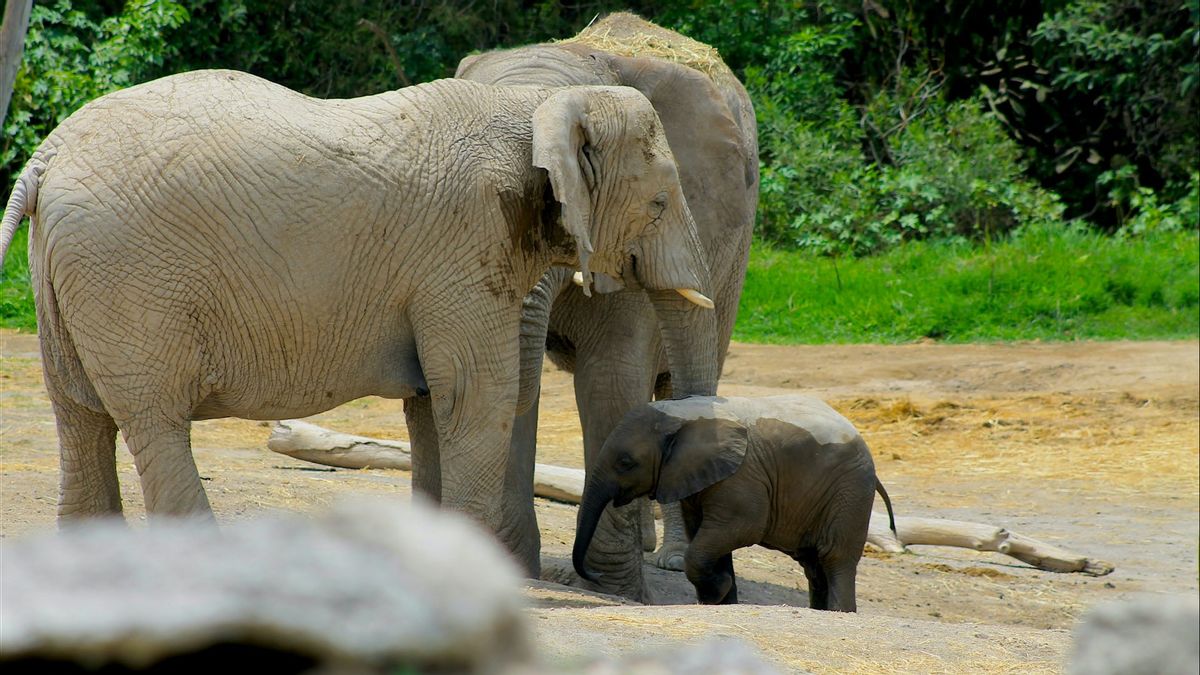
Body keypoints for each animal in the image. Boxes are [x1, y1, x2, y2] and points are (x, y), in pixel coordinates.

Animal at [0, 68, 715, 542]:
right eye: (658, 204)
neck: (536, 107)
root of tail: (44, 158)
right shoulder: (461, 248)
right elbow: (476, 397)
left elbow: (431, 404)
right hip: (127, 277)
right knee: (153, 418)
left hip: (66, 273)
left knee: (79, 415)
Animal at [571, 393, 892, 610]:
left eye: (626, 463)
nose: (596, 575)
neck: (682, 414)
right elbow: (706, 536)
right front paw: (721, 599)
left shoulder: (741, 477)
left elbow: (740, 529)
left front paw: (718, 592)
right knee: (813, 566)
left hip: (850, 492)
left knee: (835, 559)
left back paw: (839, 612)